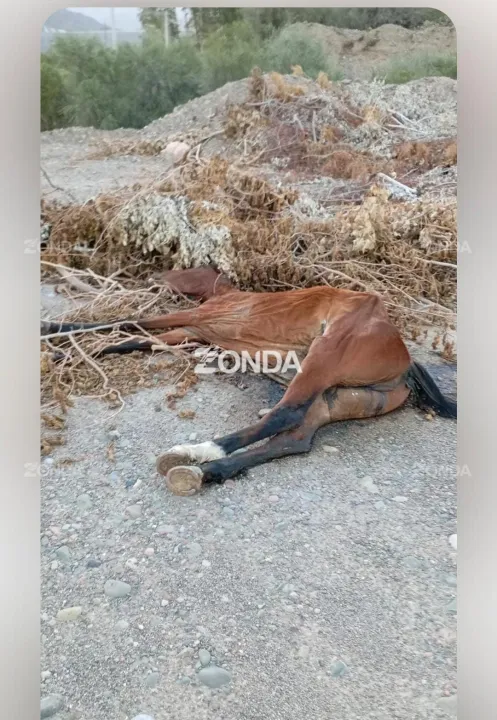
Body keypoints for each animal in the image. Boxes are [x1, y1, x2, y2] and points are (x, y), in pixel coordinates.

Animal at [41, 266, 457, 496]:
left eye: (185, 268)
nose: (154, 275)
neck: (228, 297)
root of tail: (406, 362)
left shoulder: (194, 317)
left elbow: (129, 321)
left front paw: (50, 330)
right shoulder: (191, 331)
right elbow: (131, 340)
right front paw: (65, 354)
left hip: (324, 357)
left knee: (286, 414)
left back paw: (197, 452)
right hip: (339, 398)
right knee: (295, 438)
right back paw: (199, 472)